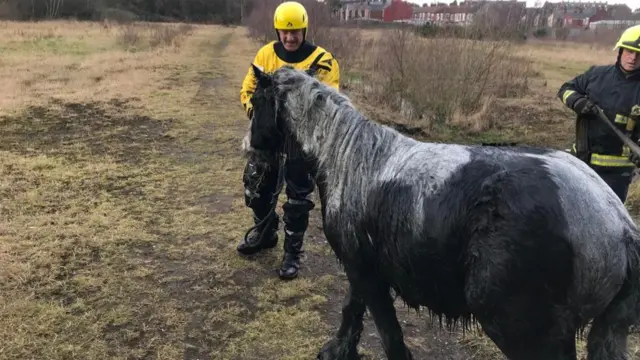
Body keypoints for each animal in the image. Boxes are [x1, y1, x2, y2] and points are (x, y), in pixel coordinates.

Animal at [242, 64, 640, 360]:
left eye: (257, 102)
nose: (251, 152)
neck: (350, 158)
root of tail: (619, 227)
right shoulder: (362, 266)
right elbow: (351, 309)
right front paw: (339, 350)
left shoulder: (369, 275)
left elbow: (389, 334)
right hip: (606, 329)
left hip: (523, 331)